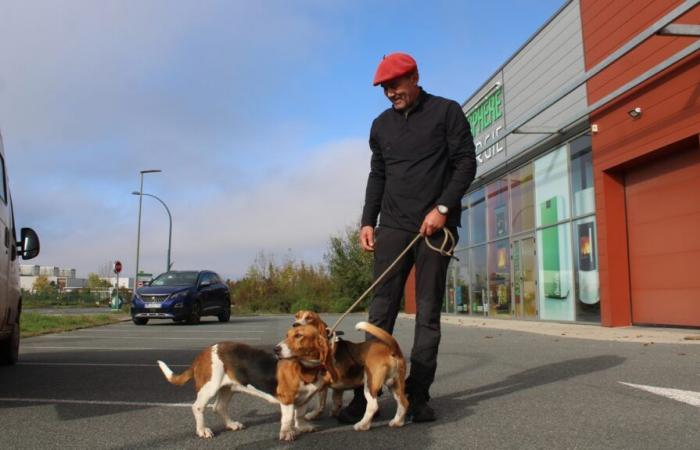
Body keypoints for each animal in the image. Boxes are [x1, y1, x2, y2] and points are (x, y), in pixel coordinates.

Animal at [157, 324, 332, 442]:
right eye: (287, 335)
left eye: (299, 335)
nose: (276, 349)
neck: (306, 366)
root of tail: (204, 352)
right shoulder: (287, 399)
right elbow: (288, 418)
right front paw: (287, 433)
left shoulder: (304, 398)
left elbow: (300, 415)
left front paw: (302, 427)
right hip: (209, 388)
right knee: (198, 407)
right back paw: (202, 430)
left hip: (228, 388)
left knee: (219, 407)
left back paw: (232, 424)